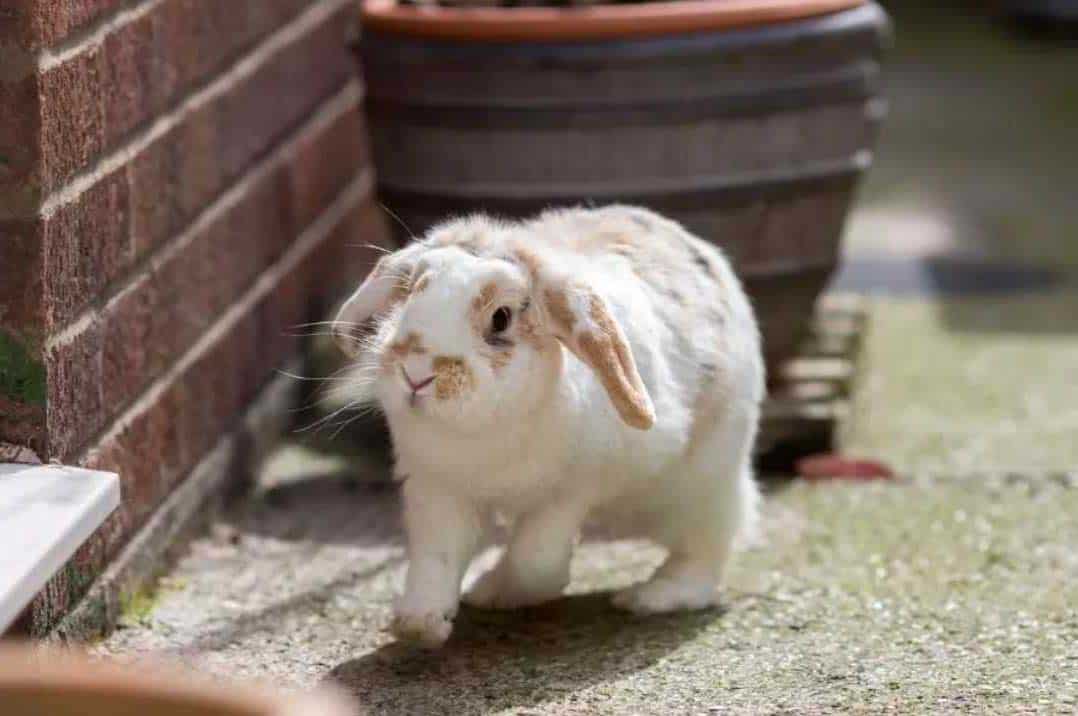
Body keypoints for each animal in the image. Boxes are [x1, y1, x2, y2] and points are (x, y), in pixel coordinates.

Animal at [332, 203, 763, 646]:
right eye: (414, 291)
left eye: (500, 318)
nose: (417, 374)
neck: (481, 431)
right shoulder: (438, 492)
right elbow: (436, 556)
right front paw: (419, 624)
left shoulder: (568, 494)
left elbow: (535, 561)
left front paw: (494, 592)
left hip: (704, 482)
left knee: (708, 546)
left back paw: (652, 596)